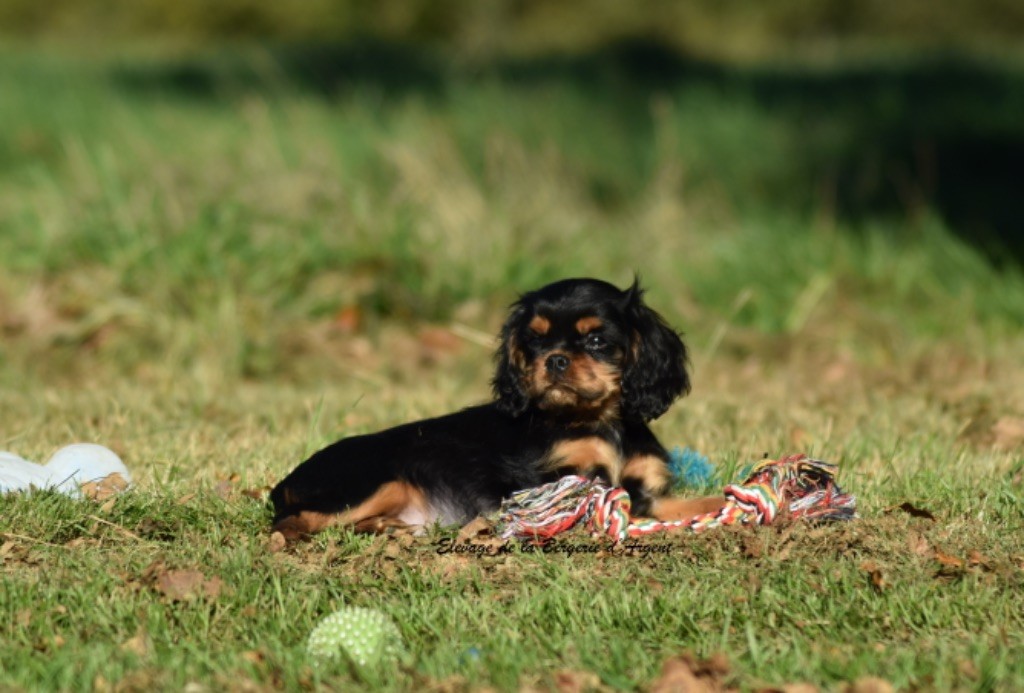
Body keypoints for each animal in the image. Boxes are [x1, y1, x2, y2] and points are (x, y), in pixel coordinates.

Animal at [270, 278, 720, 536]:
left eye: (596, 340)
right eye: (534, 341)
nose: (555, 359)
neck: (597, 421)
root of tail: (287, 480)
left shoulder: (648, 491)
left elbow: (694, 504)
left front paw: (721, 507)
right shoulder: (560, 482)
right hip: (375, 482)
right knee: (293, 521)